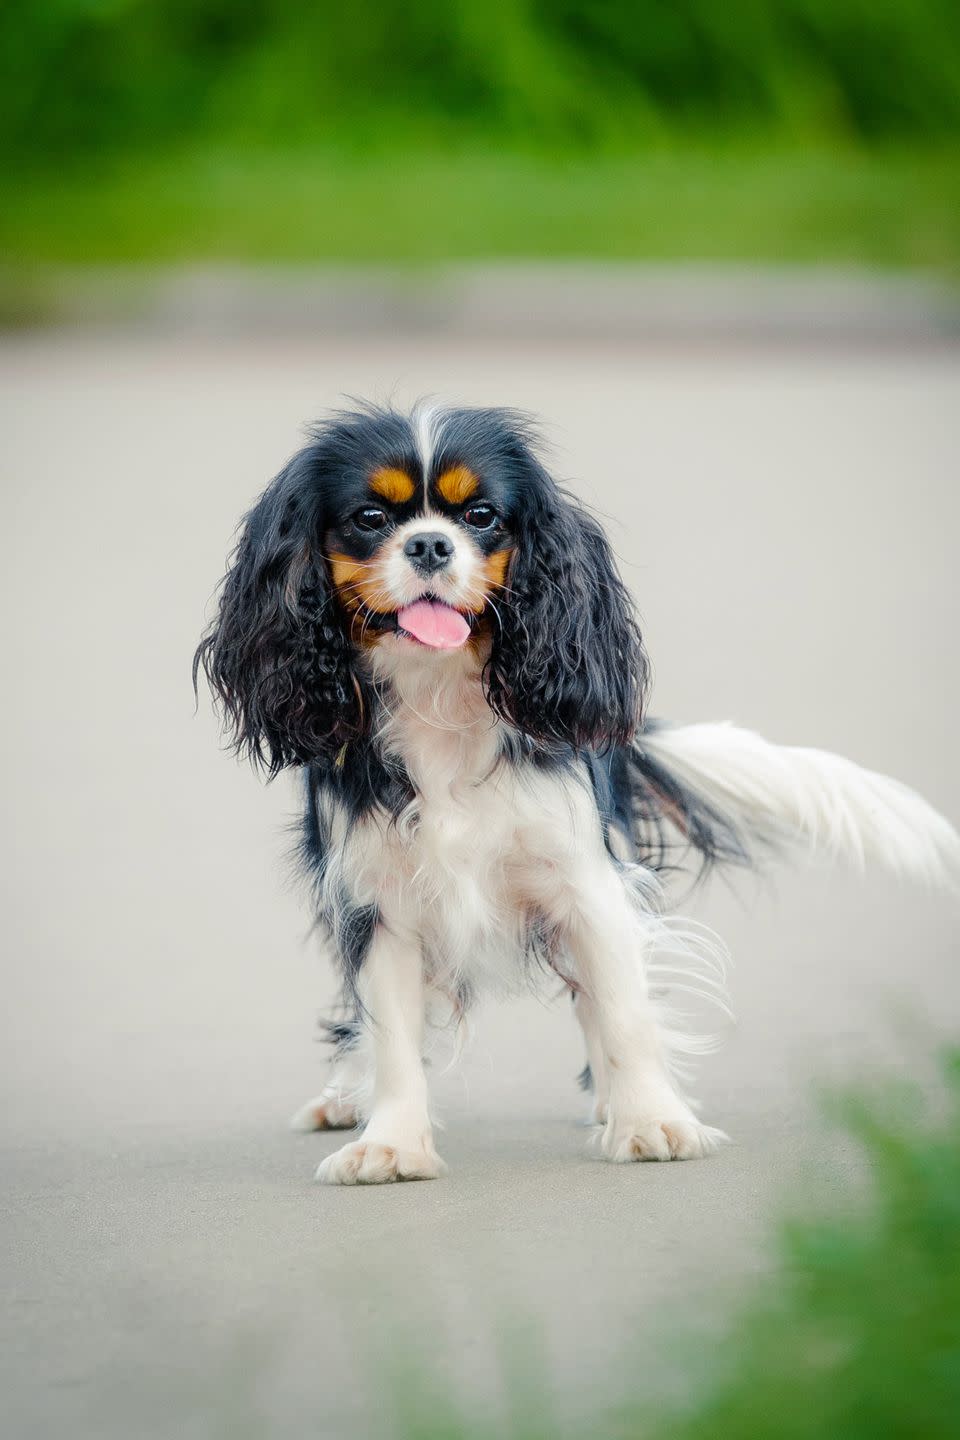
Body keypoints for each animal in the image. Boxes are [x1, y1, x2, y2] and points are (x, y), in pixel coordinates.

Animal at [197, 403, 960, 1180]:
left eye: (481, 515)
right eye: (370, 517)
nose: (431, 545)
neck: (437, 694)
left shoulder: (587, 884)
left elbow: (622, 1012)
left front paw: (651, 1121)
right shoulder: (377, 901)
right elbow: (391, 1031)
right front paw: (393, 1142)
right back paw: (346, 1094)